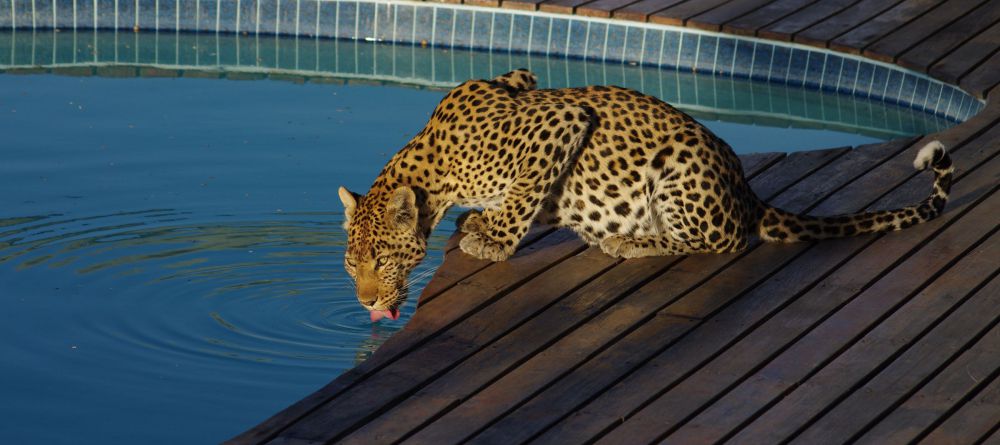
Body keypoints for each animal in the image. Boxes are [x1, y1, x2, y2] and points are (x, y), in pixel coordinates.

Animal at [338, 69, 953, 321]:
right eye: (351, 266)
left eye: (381, 261)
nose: (366, 302)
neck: (436, 171)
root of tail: (747, 194)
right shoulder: (523, 79)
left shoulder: (558, 120)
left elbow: (526, 189)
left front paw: (492, 240)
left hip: (681, 168)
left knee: (722, 242)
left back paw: (634, 242)